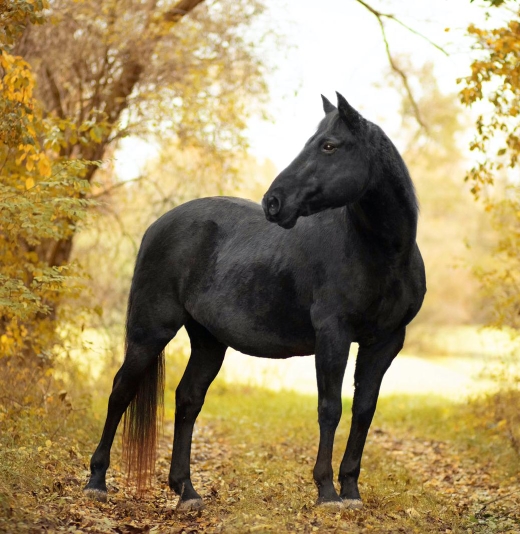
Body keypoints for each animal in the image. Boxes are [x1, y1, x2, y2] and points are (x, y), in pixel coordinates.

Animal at [84, 92, 426, 510]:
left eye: (329, 146)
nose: (273, 202)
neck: (382, 254)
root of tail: (157, 225)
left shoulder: (386, 341)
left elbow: (363, 409)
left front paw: (351, 490)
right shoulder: (334, 335)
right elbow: (330, 408)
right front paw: (327, 491)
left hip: (208, 340)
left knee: (188, 399)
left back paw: (186, 490)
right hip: (151, 331)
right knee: (121, 391)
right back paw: (97, 481)